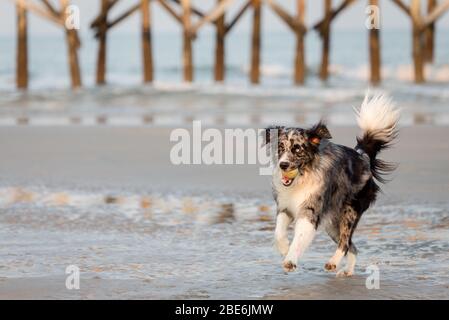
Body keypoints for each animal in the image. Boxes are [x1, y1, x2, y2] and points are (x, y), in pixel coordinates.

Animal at [264, 94, 398, 276]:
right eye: (280, 147)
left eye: (297, 149)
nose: (283, 165)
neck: (302, 177)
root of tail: (362, 156)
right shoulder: (285, 207)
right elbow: (278, 233)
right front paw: (285, 249)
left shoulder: (311, 210)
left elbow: (299, 238)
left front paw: (290, 260)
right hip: (332, 224)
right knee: (352, 246)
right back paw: (347, 271)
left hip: (350, 211)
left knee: (345, 242)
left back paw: (333, 262)